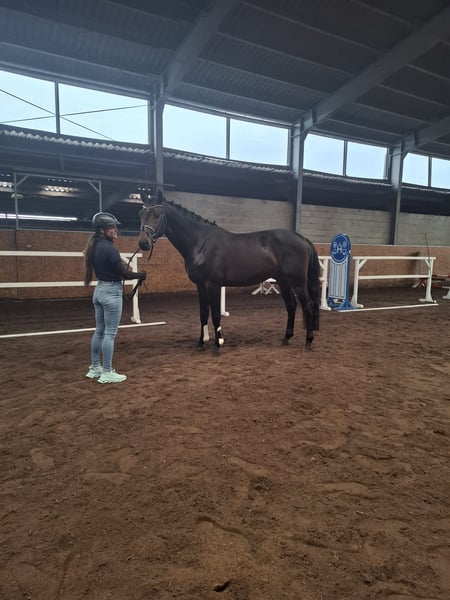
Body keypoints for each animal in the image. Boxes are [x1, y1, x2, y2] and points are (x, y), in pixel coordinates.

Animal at [138, 192, 321, 351]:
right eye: (141, 213)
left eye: (157, 214)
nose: (143, 243)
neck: (201, 242)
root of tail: (302, 239)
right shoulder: (200, 285)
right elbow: (203, 313)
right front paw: (201, 343)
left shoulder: (213, 285)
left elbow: (215, 314)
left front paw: (217, 344)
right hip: (283, 281)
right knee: (291, 306)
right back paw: (286, 338)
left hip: (298, 282)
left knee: (308, 306)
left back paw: (308, 342)